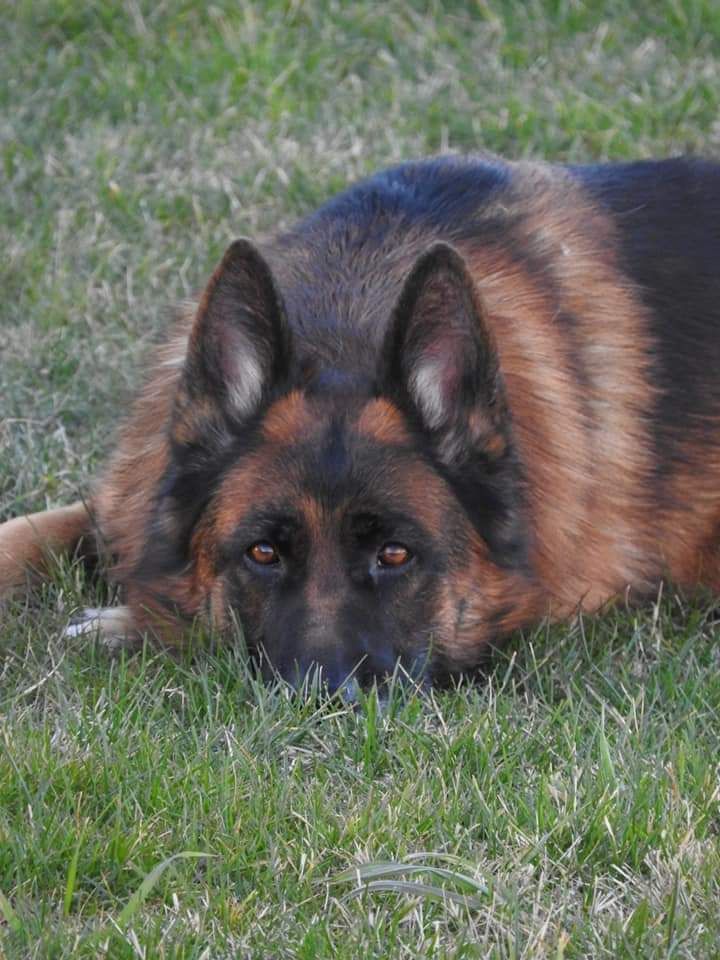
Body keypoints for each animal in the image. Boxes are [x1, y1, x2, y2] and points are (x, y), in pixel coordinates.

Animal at [1, 152, 720, 688]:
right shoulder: (124, 502)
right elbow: (30, 532)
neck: (346, 332)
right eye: (263, 553)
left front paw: (122, 623)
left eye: (395, 555)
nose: (326, 694)